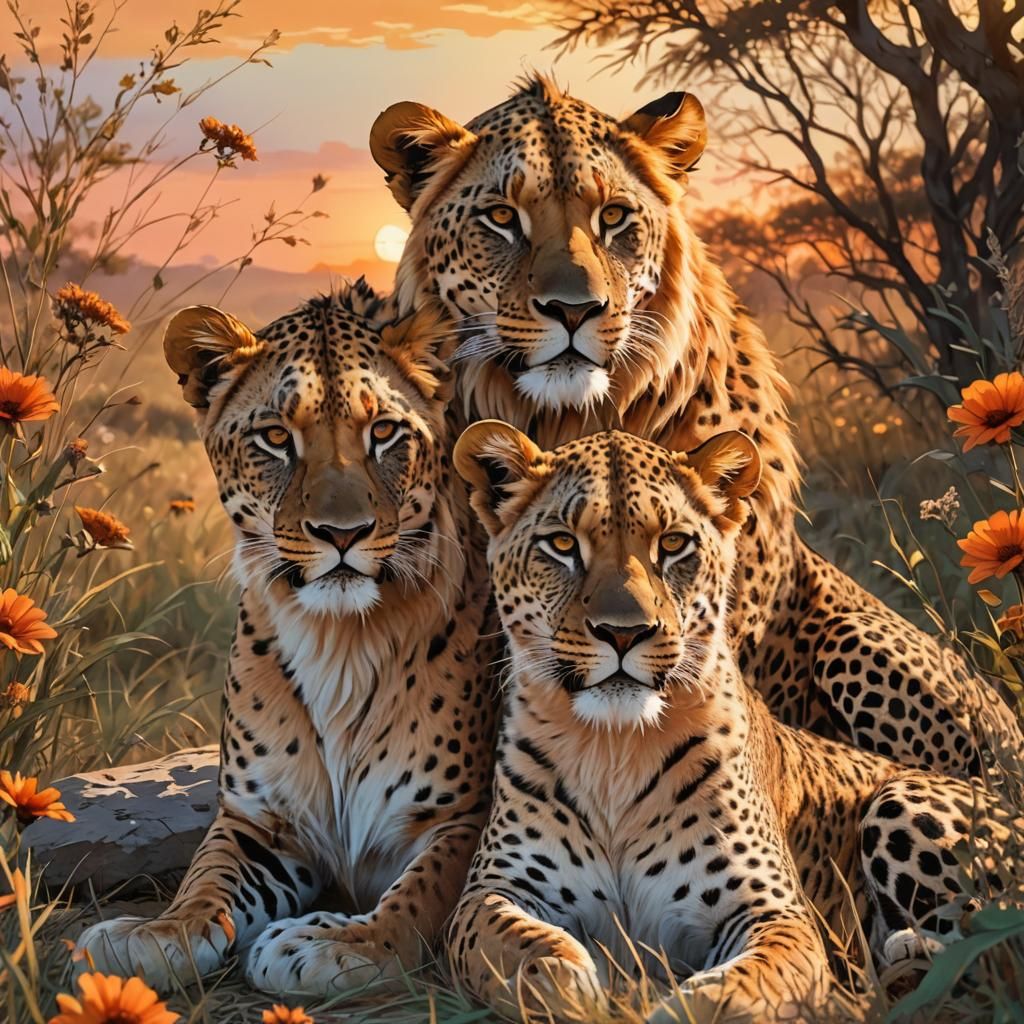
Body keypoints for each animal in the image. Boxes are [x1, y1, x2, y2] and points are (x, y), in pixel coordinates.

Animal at [76, 281, 498, 998]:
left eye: (383, 432)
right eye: (275, 437)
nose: (342, 533)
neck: (339, 639)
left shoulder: (461, 818)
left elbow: (420, 895)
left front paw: (339, 943)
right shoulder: (259, 820)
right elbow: (208, 878)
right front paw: (154, 933)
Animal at [446, 419, 1020, 1023]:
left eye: (673, 544)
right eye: (561, 544)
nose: (624, 633)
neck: (615, 749)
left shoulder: (773, 909)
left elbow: (741, 986)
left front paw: (665, 1006)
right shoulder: (492, 889)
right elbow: (510, 945)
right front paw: (571, 990)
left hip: (898, 793)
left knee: (995, 939)